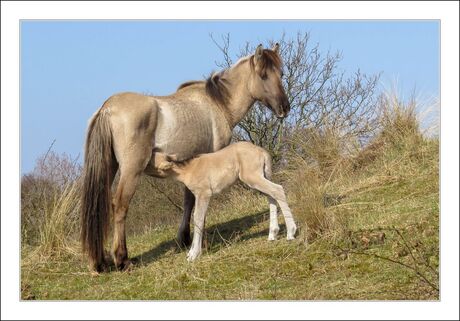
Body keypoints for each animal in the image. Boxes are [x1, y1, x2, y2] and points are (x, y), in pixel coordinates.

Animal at [154, 141, 298, 262]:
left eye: (152, 159)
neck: (189, 170)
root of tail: (261, 151)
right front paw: (191, 253)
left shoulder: (204, 193)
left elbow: (198, 218)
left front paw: (193, 255)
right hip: (259, 177)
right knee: (271, 195)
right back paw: (273, 234)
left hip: (252, 177)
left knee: (278, 190)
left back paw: (291, 232)